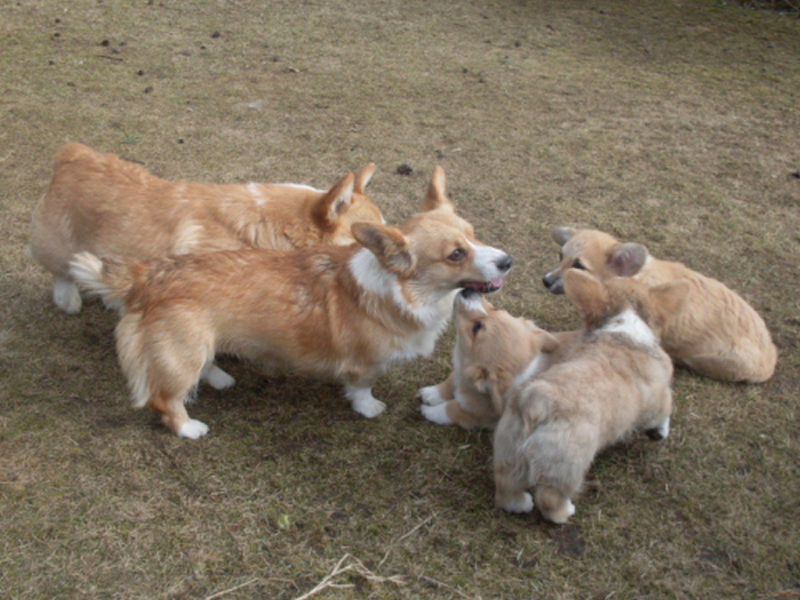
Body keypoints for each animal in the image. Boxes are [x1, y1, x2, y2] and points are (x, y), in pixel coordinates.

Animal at [28, 144, 384, 316]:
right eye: (364, 235)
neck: (272, 227)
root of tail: (73, 155)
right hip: (57, 246)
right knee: (61, 271)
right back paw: (69, 299)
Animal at [73, 166, 512, 438]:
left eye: (474, 233)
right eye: (455, 254)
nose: (508, 261)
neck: (403, 291)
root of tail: (147, 276)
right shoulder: (364, 363)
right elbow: (362, 388)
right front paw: (369, 409)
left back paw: (219, 377)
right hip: (182, 353)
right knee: (165, 400)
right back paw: (190, 428)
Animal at [418, 290, 576, 432]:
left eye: (477, 327)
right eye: (496, 309)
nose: (467, 291)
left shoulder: (476, 413)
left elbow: (452, 408)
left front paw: (429, 411)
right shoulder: (459, 371)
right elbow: (450, 382)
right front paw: (431, 393)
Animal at [494, 270, 688, 524]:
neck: (625, 325)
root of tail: (535, 404)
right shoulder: (659, 400)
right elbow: (665, 414)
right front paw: (661, 434)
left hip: (507, 452)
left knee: (506, 488)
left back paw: (521, 504)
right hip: (567, 467)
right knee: (549, 499)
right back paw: (566, 511)